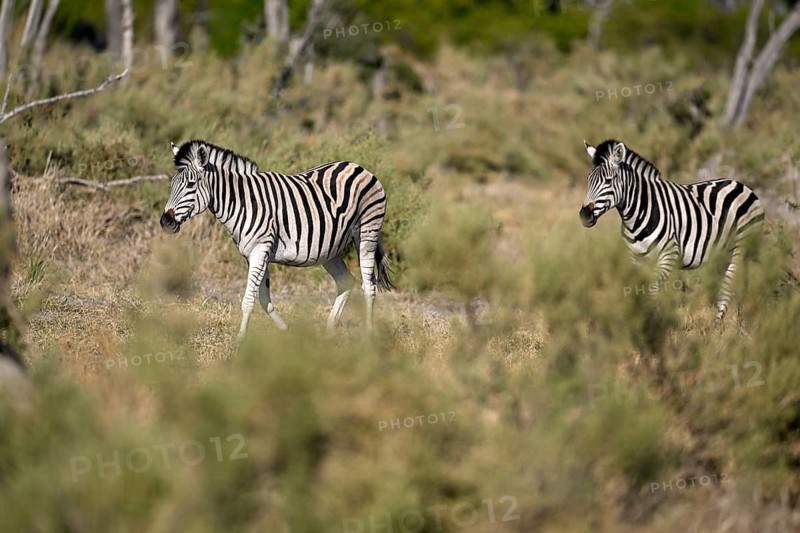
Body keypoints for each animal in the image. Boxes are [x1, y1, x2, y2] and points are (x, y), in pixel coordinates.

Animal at [160, 140, 394, 340]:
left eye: (191, 184)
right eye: (172, 183)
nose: (165, 221)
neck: (242, 202)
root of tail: (358, 166)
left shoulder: (260, 249)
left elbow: (248, 300)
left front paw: (240, 341)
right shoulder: (254, 254)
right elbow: (264, 299)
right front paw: (287, 332)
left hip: (367, 233)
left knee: (369, 286)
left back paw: (368, 335)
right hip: (329, 249)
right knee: (346, 281)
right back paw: (328, 332)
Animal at [579, 139, 764, 323]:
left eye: (608, 181)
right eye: (588, 180)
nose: (584, 215)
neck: (637, 215)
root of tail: (740, 184)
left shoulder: (668, 256)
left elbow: (650, 291)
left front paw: (652, 324)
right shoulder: (636, 259)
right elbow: (638, 291)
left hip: (740, 248)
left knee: (729, 285)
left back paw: (720, 326)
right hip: (722, 254)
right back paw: (740, 322)